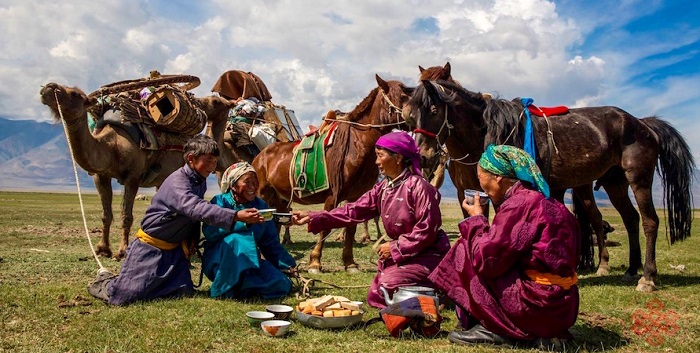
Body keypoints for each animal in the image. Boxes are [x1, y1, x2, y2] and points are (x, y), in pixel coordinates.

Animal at [253, 74, 412, 272]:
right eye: (402, 97)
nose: (414, 116)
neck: (356, 145)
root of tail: (260, 156)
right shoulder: (332, 196)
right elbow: (325, 226)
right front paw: (315, 262)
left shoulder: (355, 196)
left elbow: (351, 227)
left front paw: (349, 263)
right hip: (263, 194)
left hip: (280, 199)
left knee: (275, 224)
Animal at [404, 78, 696, 290]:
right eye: (410, 117)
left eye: (433, 110)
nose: (423, 155)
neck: (487, 133)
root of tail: (643, 124)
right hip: (615, 184)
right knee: (631, 219)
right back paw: (631, 270)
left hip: (639, 178)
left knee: (649, 222)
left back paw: (647, 277)